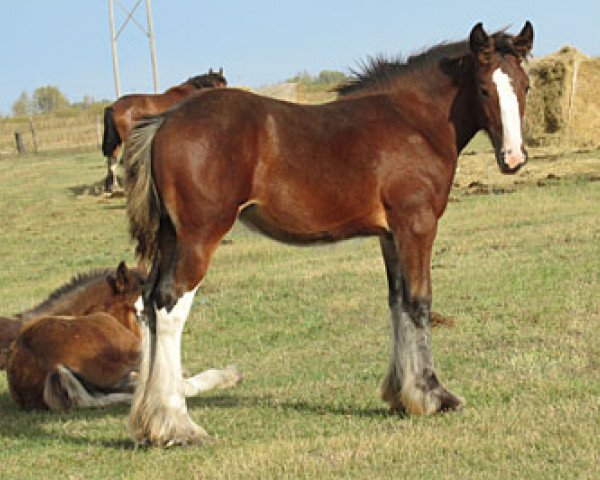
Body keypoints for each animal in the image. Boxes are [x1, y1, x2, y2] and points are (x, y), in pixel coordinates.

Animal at [123, 21, 536, 446]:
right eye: (484, 88)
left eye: (526, 85)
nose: (513, 158)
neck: (413, 121)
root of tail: (164, 121)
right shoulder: (416, 225)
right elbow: (418, 302)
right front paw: (432, 395)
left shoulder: (390, 235)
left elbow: (397, 302)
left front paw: (400, 393)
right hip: (199, 237)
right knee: (169, 306)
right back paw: (175, 423)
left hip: (170, 238)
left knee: (147, 303)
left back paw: (147, 422)